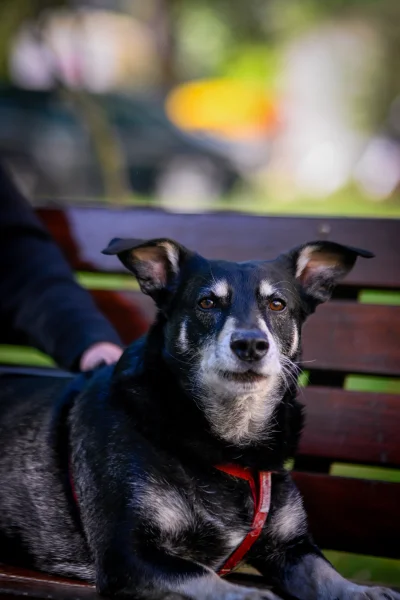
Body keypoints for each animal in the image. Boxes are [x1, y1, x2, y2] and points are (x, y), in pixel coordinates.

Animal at [0, 237, 396, 600]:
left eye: (277, 304)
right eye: (207, 302)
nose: (250, 344)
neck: (233, 442)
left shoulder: (293, 548)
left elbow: (326, 575)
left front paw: (365, 591)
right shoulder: (126, 555)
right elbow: (207, 579)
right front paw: (253, 596)